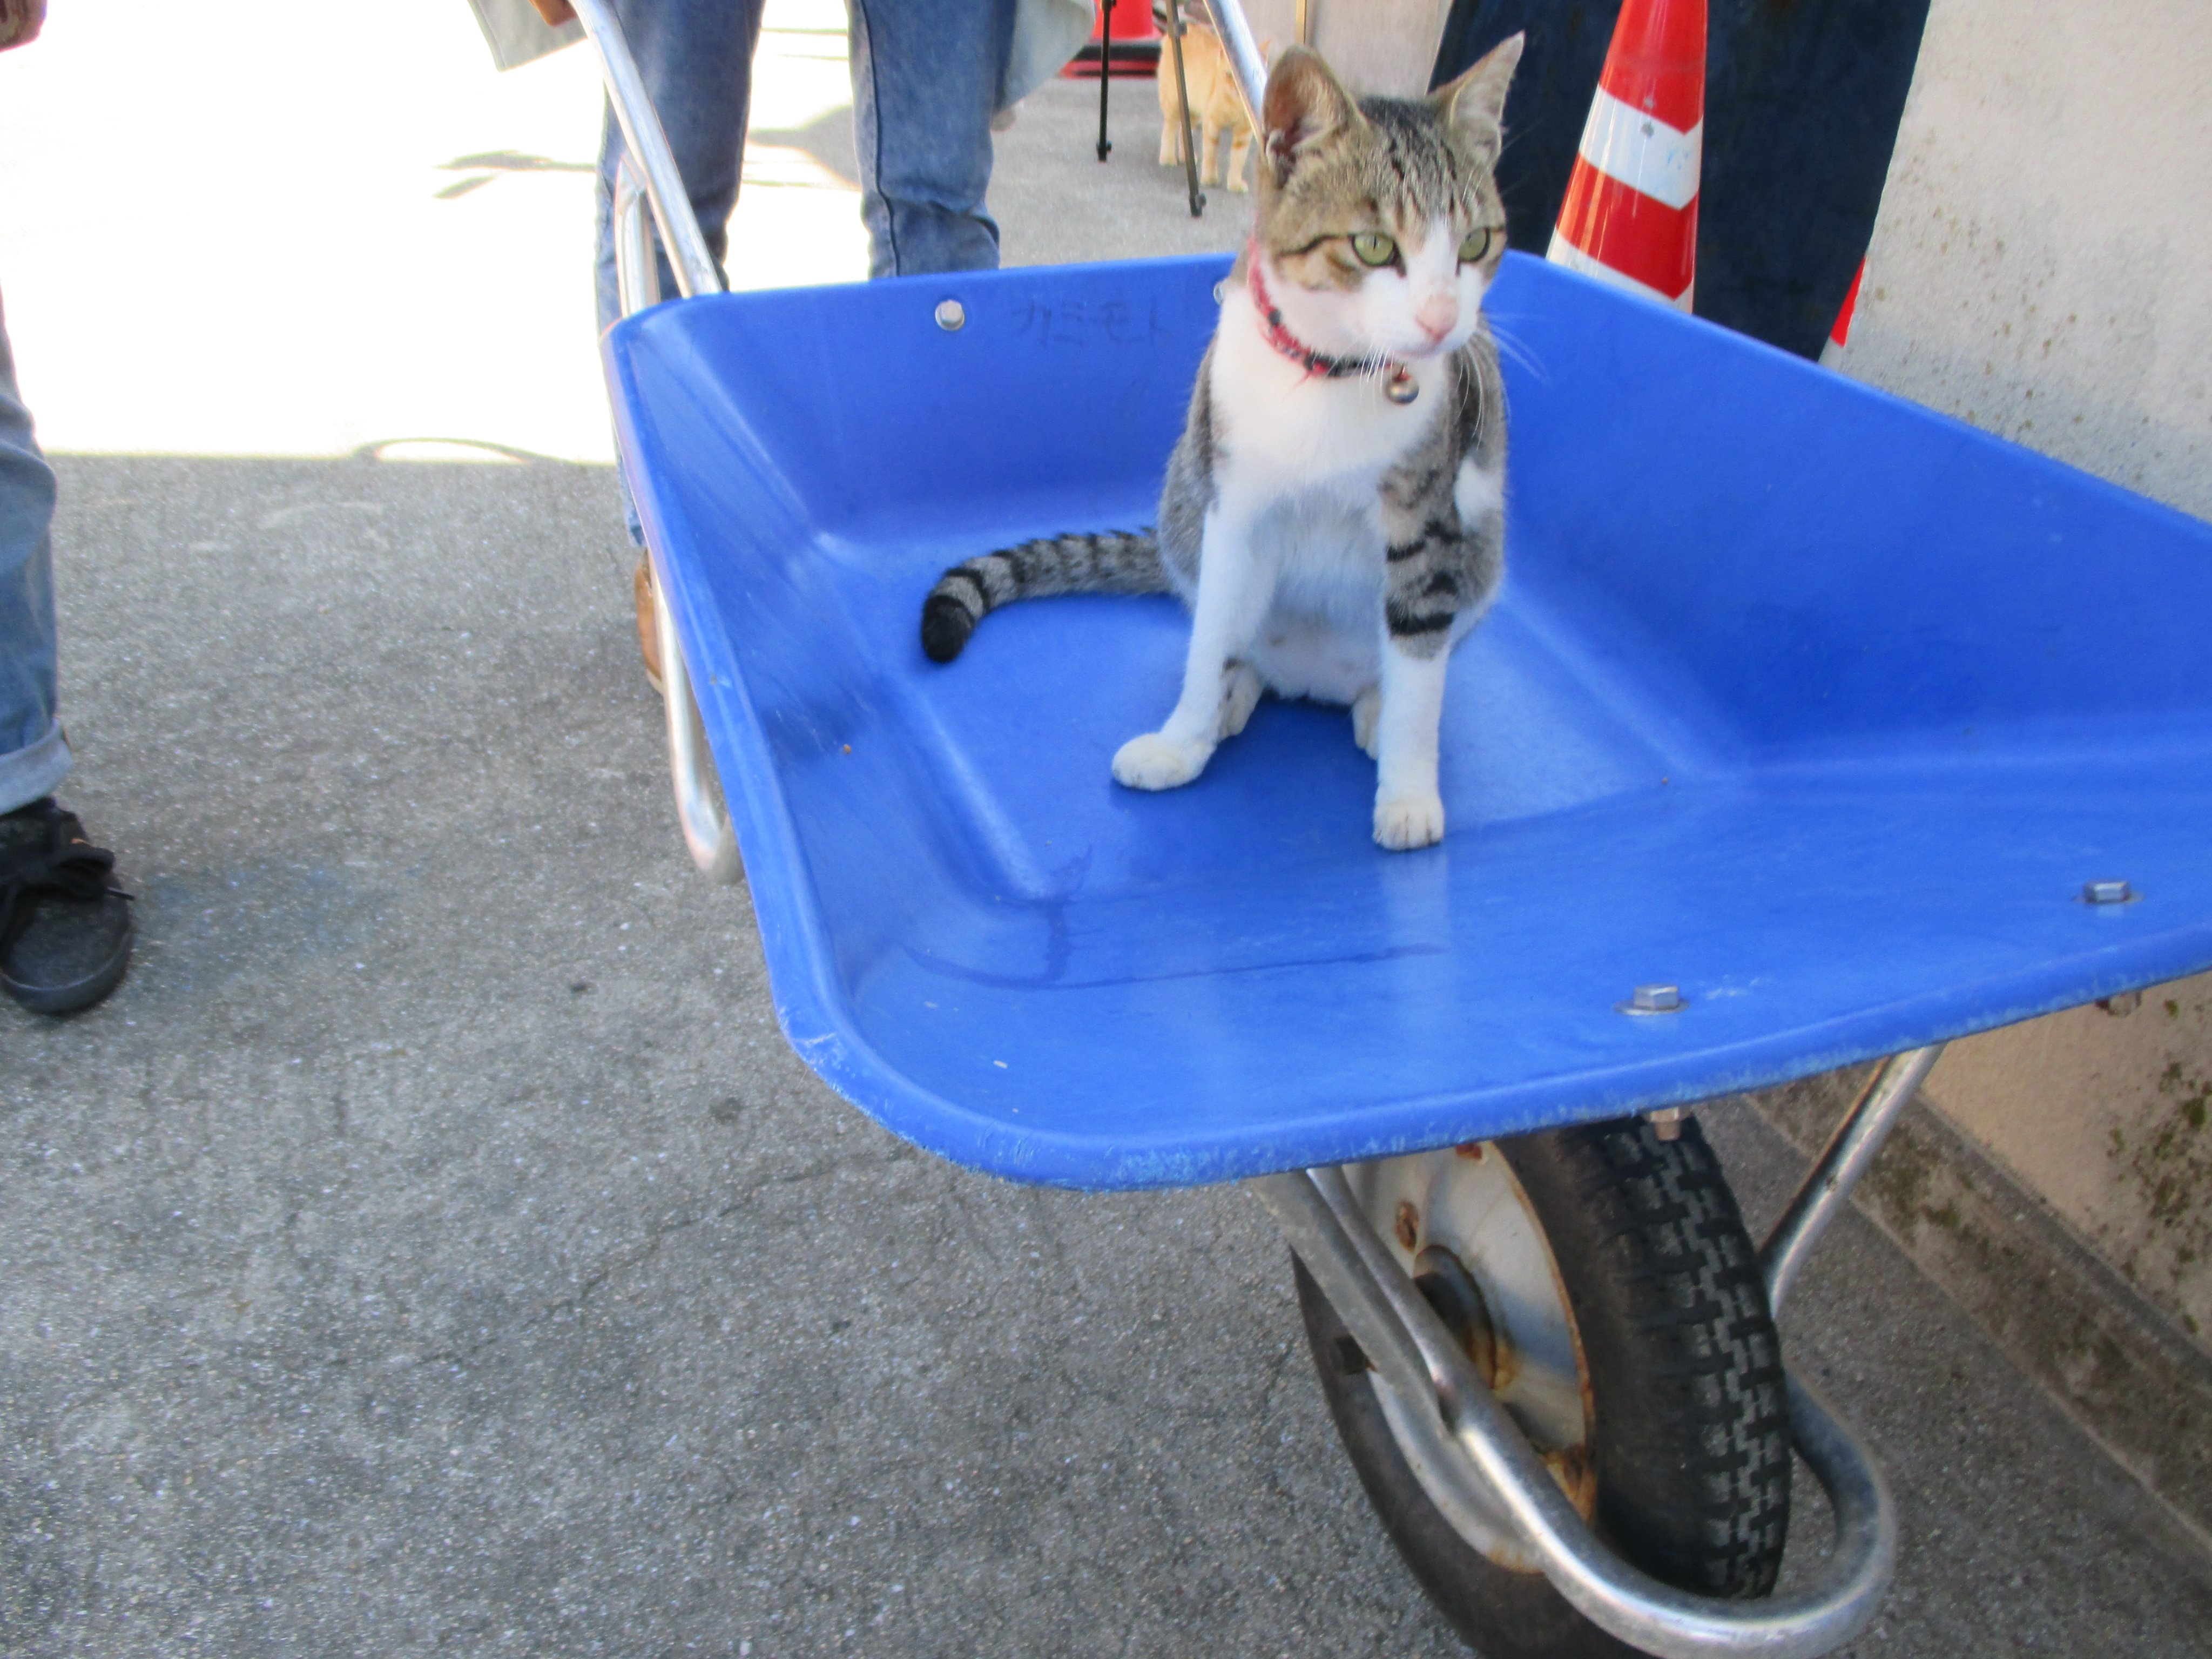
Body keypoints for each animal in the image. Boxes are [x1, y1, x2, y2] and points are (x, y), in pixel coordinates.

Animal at [915, 36, 1522, 858]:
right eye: (1373, 246)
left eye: (1476, 243)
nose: (1440, 320)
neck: (1332, 374)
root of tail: (1313, 678)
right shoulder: (1232, 509)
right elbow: (1207, 645)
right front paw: (1183, 740)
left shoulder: (1428, 527)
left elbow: (1419, 682)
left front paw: (1408, 795)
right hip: (1186, 507)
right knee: (1234, 641)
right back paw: (1237, 696)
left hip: (1479, 556)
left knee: (1404, 662)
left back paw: (1370, 703)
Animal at [1159, 15, 1265, 194]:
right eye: (1229, 75)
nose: (1237, 90)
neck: (1235, 105)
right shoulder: (1212, 125)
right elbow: (1211, 153)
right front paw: (1209, 178)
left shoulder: (1244, 133)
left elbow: (1238, 160)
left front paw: (1235, 183)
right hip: (1173, 103)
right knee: (1170, 128)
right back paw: (1167, 157)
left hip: (1193, 111)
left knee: (1184, 132)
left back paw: (1186, 157)